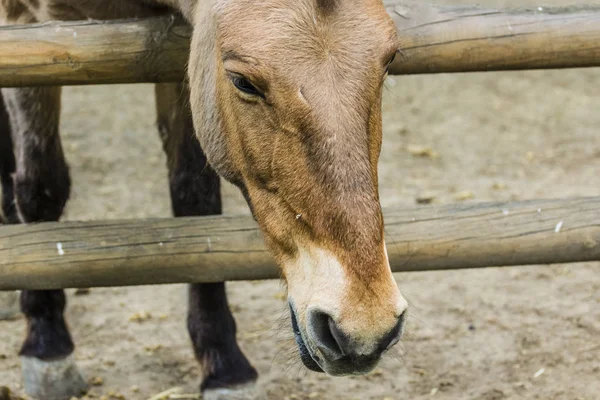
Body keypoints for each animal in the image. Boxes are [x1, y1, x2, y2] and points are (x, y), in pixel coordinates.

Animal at [0, 0, 408, 400]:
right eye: (243, 82)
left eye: (390, 59)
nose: (365, 326)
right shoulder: (25, 27)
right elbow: (40, 189)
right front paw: (47, 343)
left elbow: (196, 205)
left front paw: (223, 363)